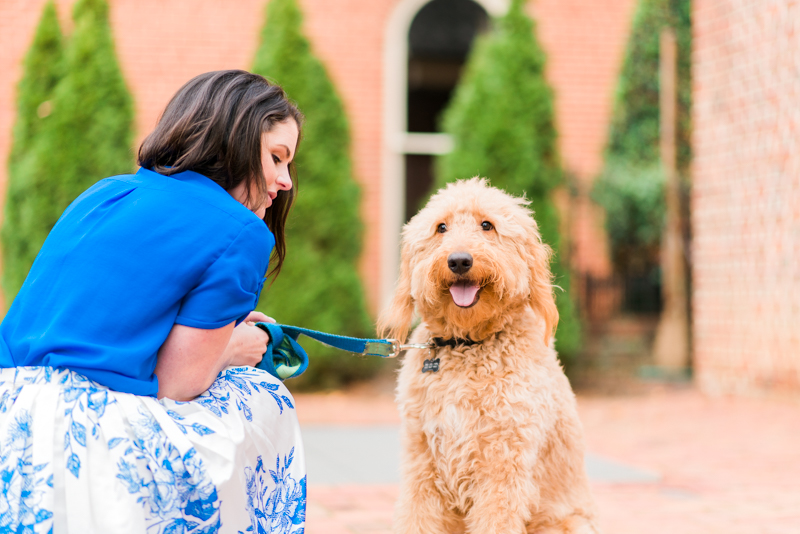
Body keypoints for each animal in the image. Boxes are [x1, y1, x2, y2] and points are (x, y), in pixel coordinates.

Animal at [378, 178, 596, 532]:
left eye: (487, 225)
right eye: (441, 227)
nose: (459, 261)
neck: (467, 345)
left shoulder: (503, 467)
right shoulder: (421, 463)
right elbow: (416, 517)